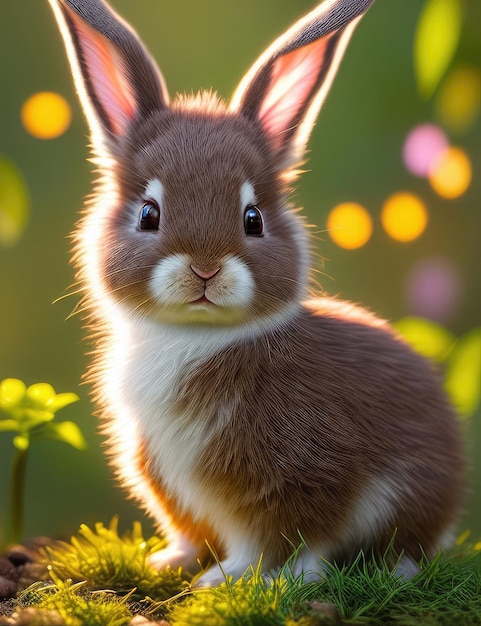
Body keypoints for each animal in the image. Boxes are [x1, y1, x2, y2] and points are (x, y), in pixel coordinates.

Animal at [47, 0, 464, 584]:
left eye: (253, 218)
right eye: (149, 214)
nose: (204, 269)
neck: (197, 337)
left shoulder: (301, 473)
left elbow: (282, 538)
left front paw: (239, 579)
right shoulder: (160, 469)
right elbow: (191, 527)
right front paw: (171, 562)